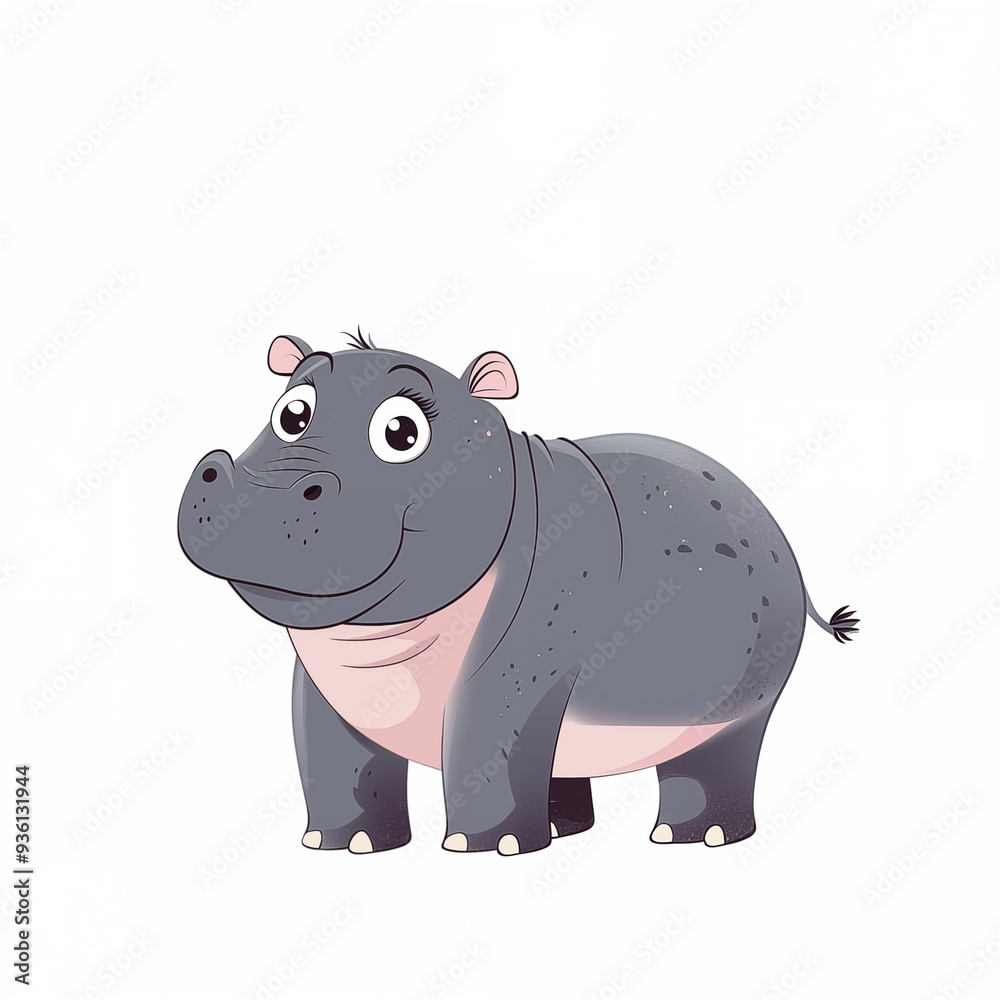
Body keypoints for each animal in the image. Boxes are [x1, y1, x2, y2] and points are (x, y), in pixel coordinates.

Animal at [178, 330, 858, 856]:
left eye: (402, 431)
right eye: (291, 412)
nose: (252, 484)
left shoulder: (515, 665)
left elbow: (484, 736)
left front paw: (484, 848)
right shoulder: (323, 688)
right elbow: (330, 753)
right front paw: (345, 846)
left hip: (739, 714)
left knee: (715, 761)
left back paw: (694, 836)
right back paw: (562, 827)